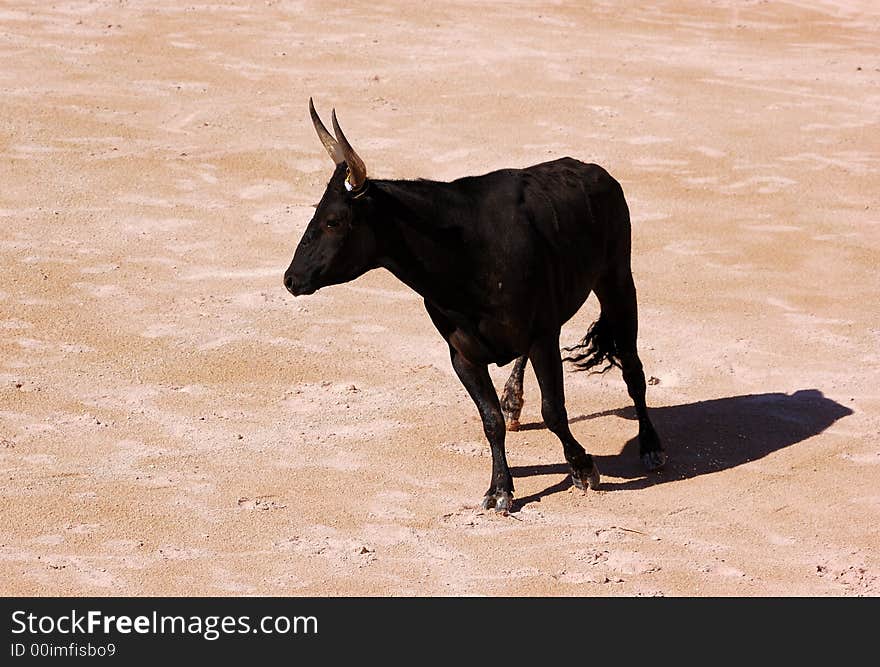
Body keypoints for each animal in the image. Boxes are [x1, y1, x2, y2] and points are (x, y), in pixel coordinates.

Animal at [286, 102, 664, 516]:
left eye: (334, 221)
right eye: (315, 215)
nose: (290, 279)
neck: (464, 252)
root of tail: (596, 171)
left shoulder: (542, 335)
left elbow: (554, 409)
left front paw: (583, 468)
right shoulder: (462, 354)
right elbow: (490, 419)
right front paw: (500, 489)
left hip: (617, 277)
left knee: (632, 368)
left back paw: (651, 447)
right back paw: (513, 403)